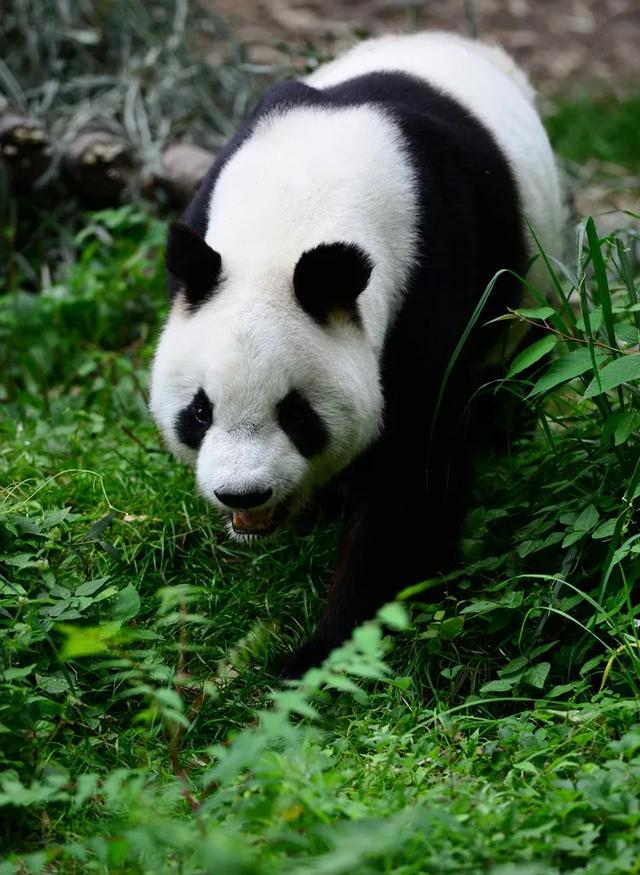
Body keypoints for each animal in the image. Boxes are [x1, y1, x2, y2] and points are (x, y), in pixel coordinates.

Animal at [149, 30, 560, 676]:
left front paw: (318, 652)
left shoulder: (427, 280)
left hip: (531, 283)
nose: (242, 494)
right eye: (200, 411)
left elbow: (411, 479)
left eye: (296, 414)